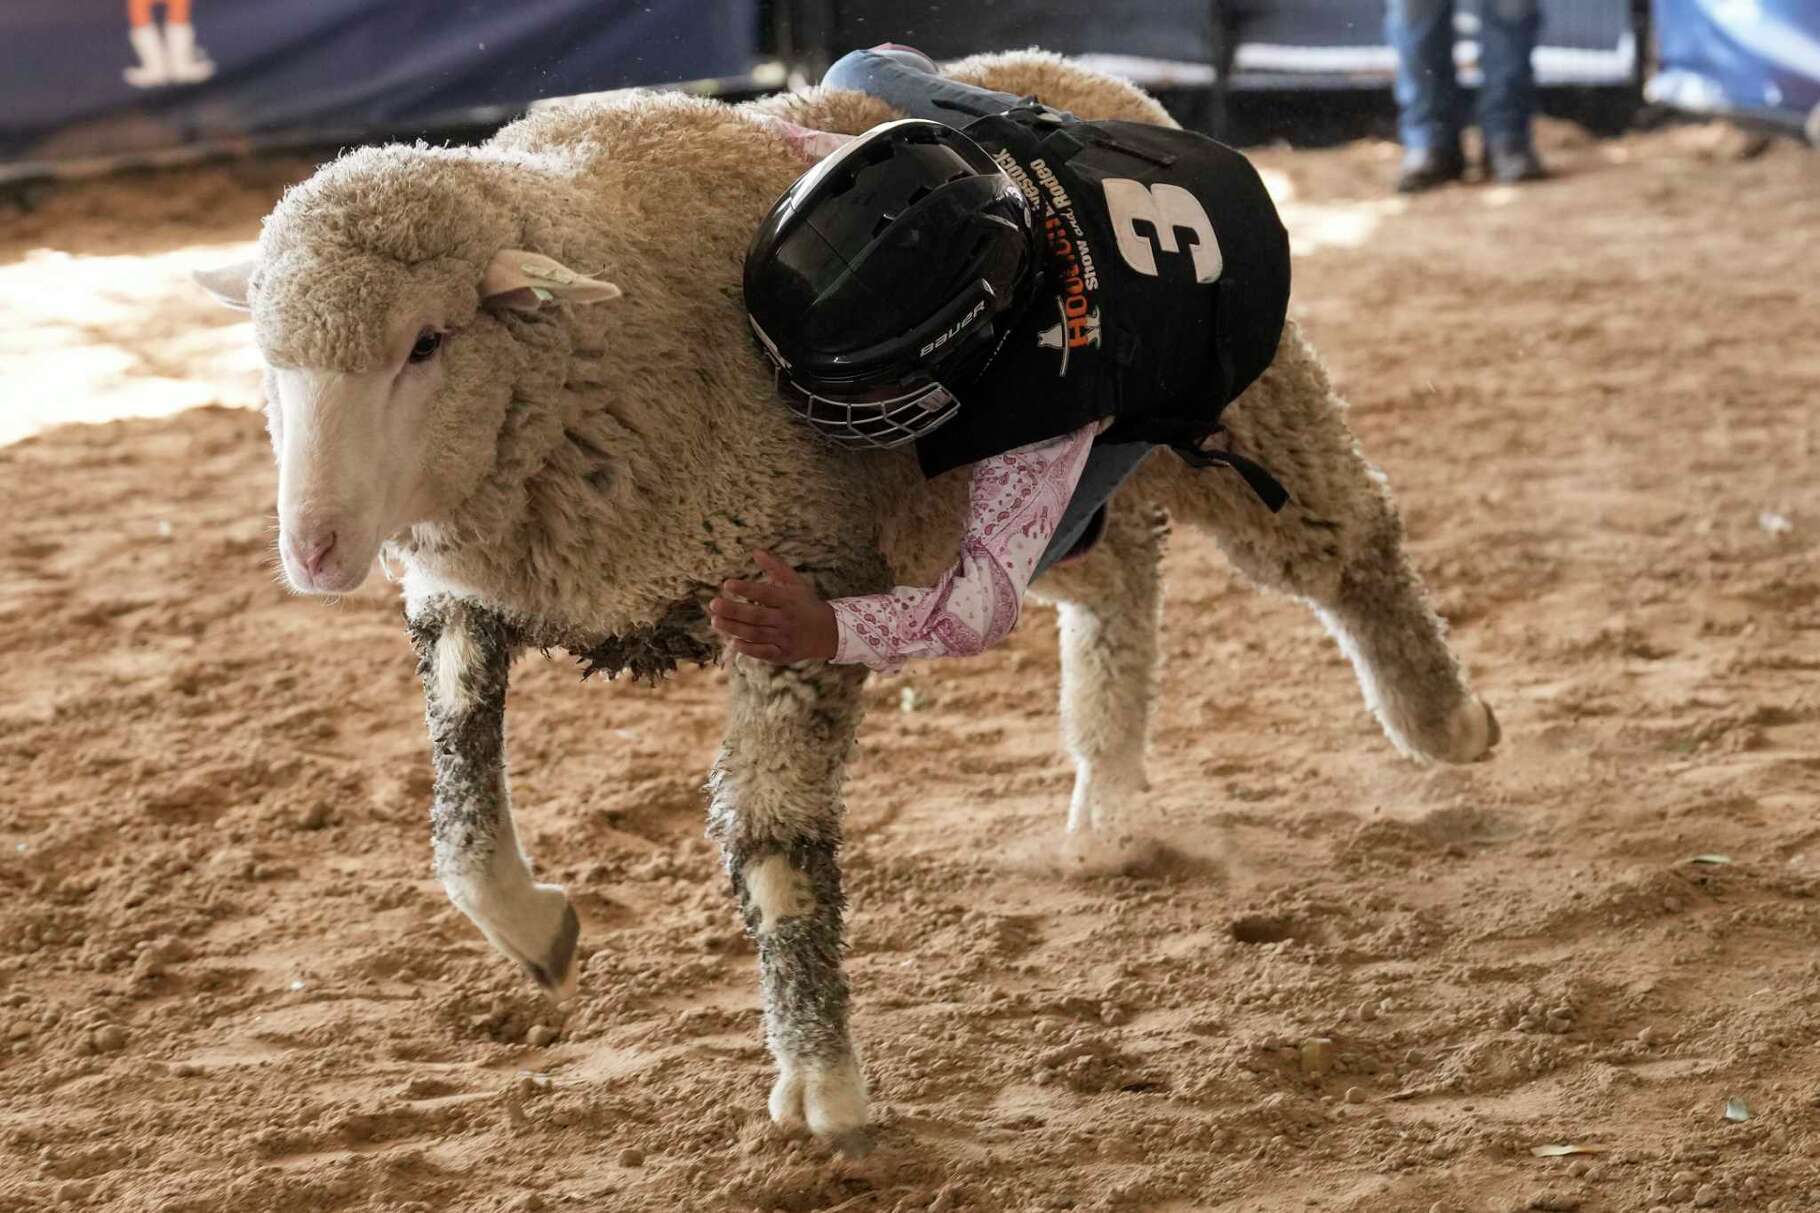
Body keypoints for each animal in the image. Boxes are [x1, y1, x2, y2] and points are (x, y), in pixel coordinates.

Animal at [195, 51, 1497, 1144]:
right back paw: (1107, 800)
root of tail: (1093, 77)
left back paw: (1442, 720)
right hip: (1048, 498)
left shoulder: (797, 584)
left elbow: (774, 847)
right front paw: (536, 931)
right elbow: (460, 825)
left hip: (1235, 406)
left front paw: (822, 1083)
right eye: (269, 356)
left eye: (425, 343)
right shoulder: (464, 594)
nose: (313, 552)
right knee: (1116, 585)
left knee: (1344, 542)